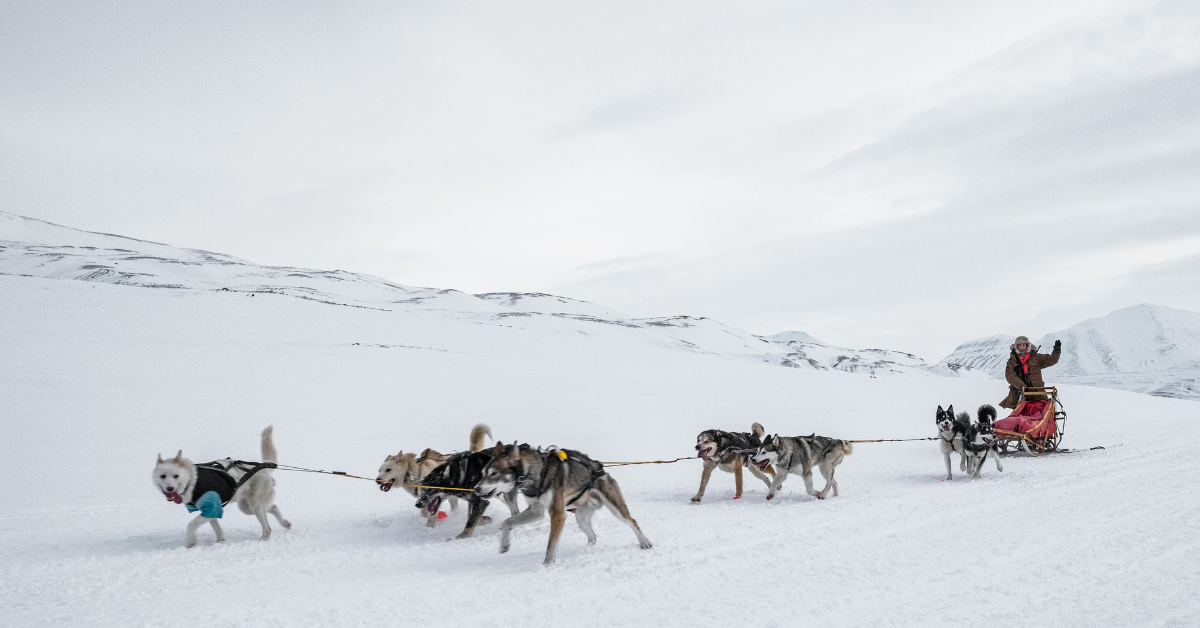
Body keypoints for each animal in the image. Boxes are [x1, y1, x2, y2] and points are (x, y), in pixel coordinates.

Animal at [151, 422, 289, 549]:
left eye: (176, 476)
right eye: (163, 476)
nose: (170, 488)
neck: (192, 481)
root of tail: (263, 467)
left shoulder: (211, 508)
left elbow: (192, 524)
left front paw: (191, 542)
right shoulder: (211, 509)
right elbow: (217, 528)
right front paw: (219, 542)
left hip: (255, 506)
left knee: (267, 528)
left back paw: (261, 541)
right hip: (247, 507)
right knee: (273, 507)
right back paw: (285, 523)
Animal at [472, 441, 652, 564]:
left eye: (493, 473)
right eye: (483, 473)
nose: (476, 489)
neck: (538, 472)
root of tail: (601, 469)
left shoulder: (557, 514)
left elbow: (551, 546)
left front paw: (546, 565)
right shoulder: (536, 511)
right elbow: (507, 522)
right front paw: (504, 545)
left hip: (616, 508)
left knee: (632, 521)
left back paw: (645, 542)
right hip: (581, 519)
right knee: (593, 536)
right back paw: (586, 551)